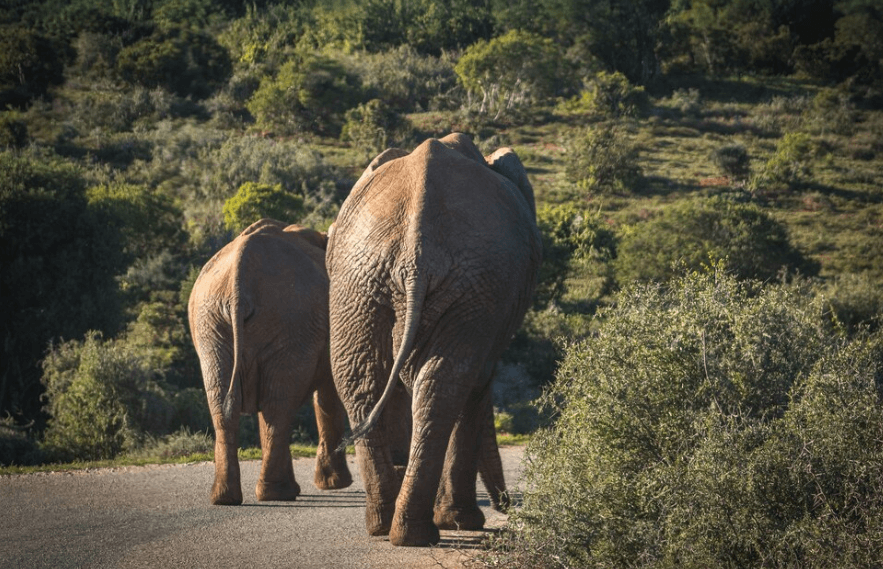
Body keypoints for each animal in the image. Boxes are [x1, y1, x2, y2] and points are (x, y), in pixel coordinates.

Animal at [190, 219, 352, 506]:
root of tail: (239, 282)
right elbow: (328, 394)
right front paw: (336, 485)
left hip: (214, 324)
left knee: (236, 404)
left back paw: (229, 498)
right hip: (281, 321)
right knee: (277, 404)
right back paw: (277, 493)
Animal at [328, 133, 544, 544]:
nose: (508, 506)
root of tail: (416, 253)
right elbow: (477, 386)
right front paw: (463, 523)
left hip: (363, 281)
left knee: (361, 380)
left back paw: (388, 528)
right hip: (458, 282)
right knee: (448, 382)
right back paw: (425, 530)